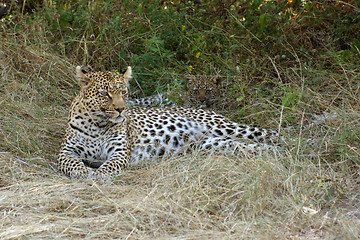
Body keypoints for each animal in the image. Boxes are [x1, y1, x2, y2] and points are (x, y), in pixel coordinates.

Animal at [57, 66, 280, 179]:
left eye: (124, 92)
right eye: (105, 93)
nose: (121, 109)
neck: (98, 124)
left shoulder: (119, 152)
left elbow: (109, 166)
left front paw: (98, 175)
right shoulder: (66, 151)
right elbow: (72, 163)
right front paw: (84, 172)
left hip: (223, 127)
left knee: (268, 133)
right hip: (210, 143)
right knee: (245, 145)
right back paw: (272, 153)